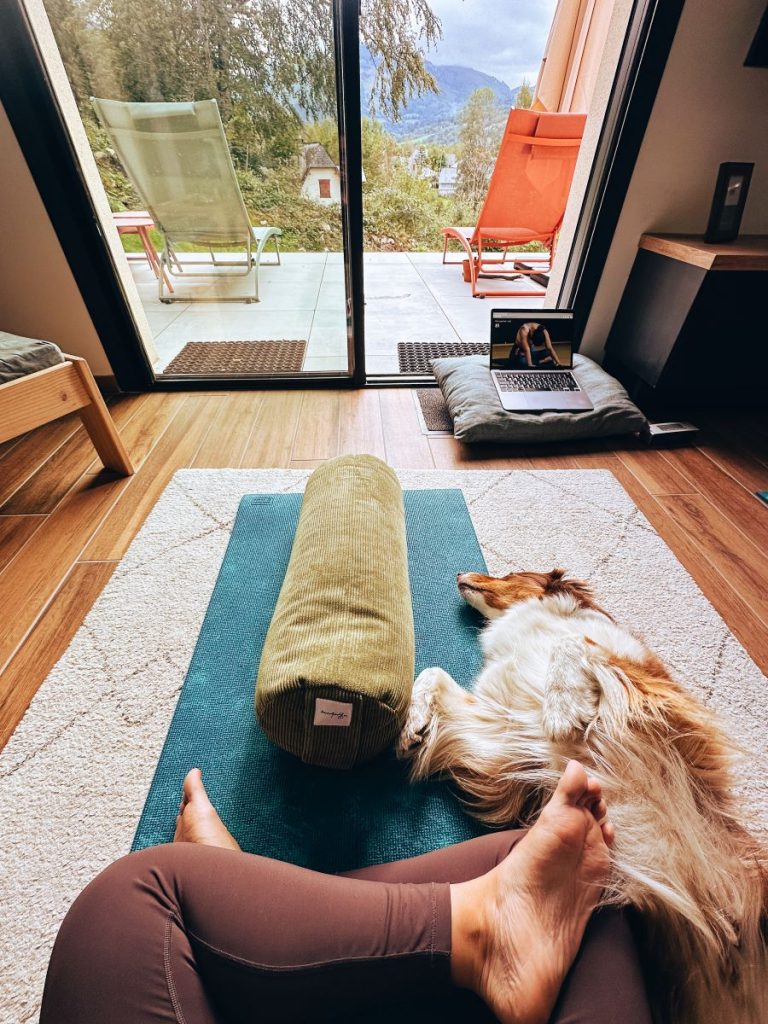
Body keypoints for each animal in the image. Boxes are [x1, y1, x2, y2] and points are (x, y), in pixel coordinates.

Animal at [399, 569, 765, 1024]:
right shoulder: (502, 732)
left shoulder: (651, 693)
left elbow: (573, 643)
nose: (460, 573)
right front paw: (412, 723)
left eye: (509, 573)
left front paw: (561, 708)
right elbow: (432, 673)